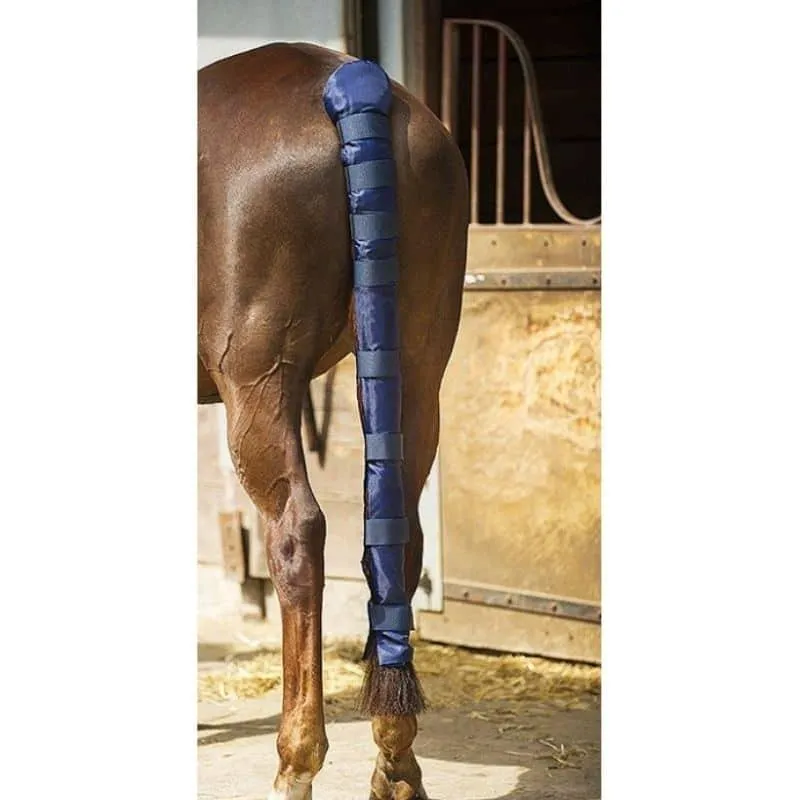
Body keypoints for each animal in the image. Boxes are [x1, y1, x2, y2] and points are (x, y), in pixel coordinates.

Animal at [198, 42, 468, 799]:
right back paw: (397, 766)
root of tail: (348, 82)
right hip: (419, 371)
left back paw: (296, 762)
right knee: (400, 539)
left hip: (257, 381)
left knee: (297, 534)